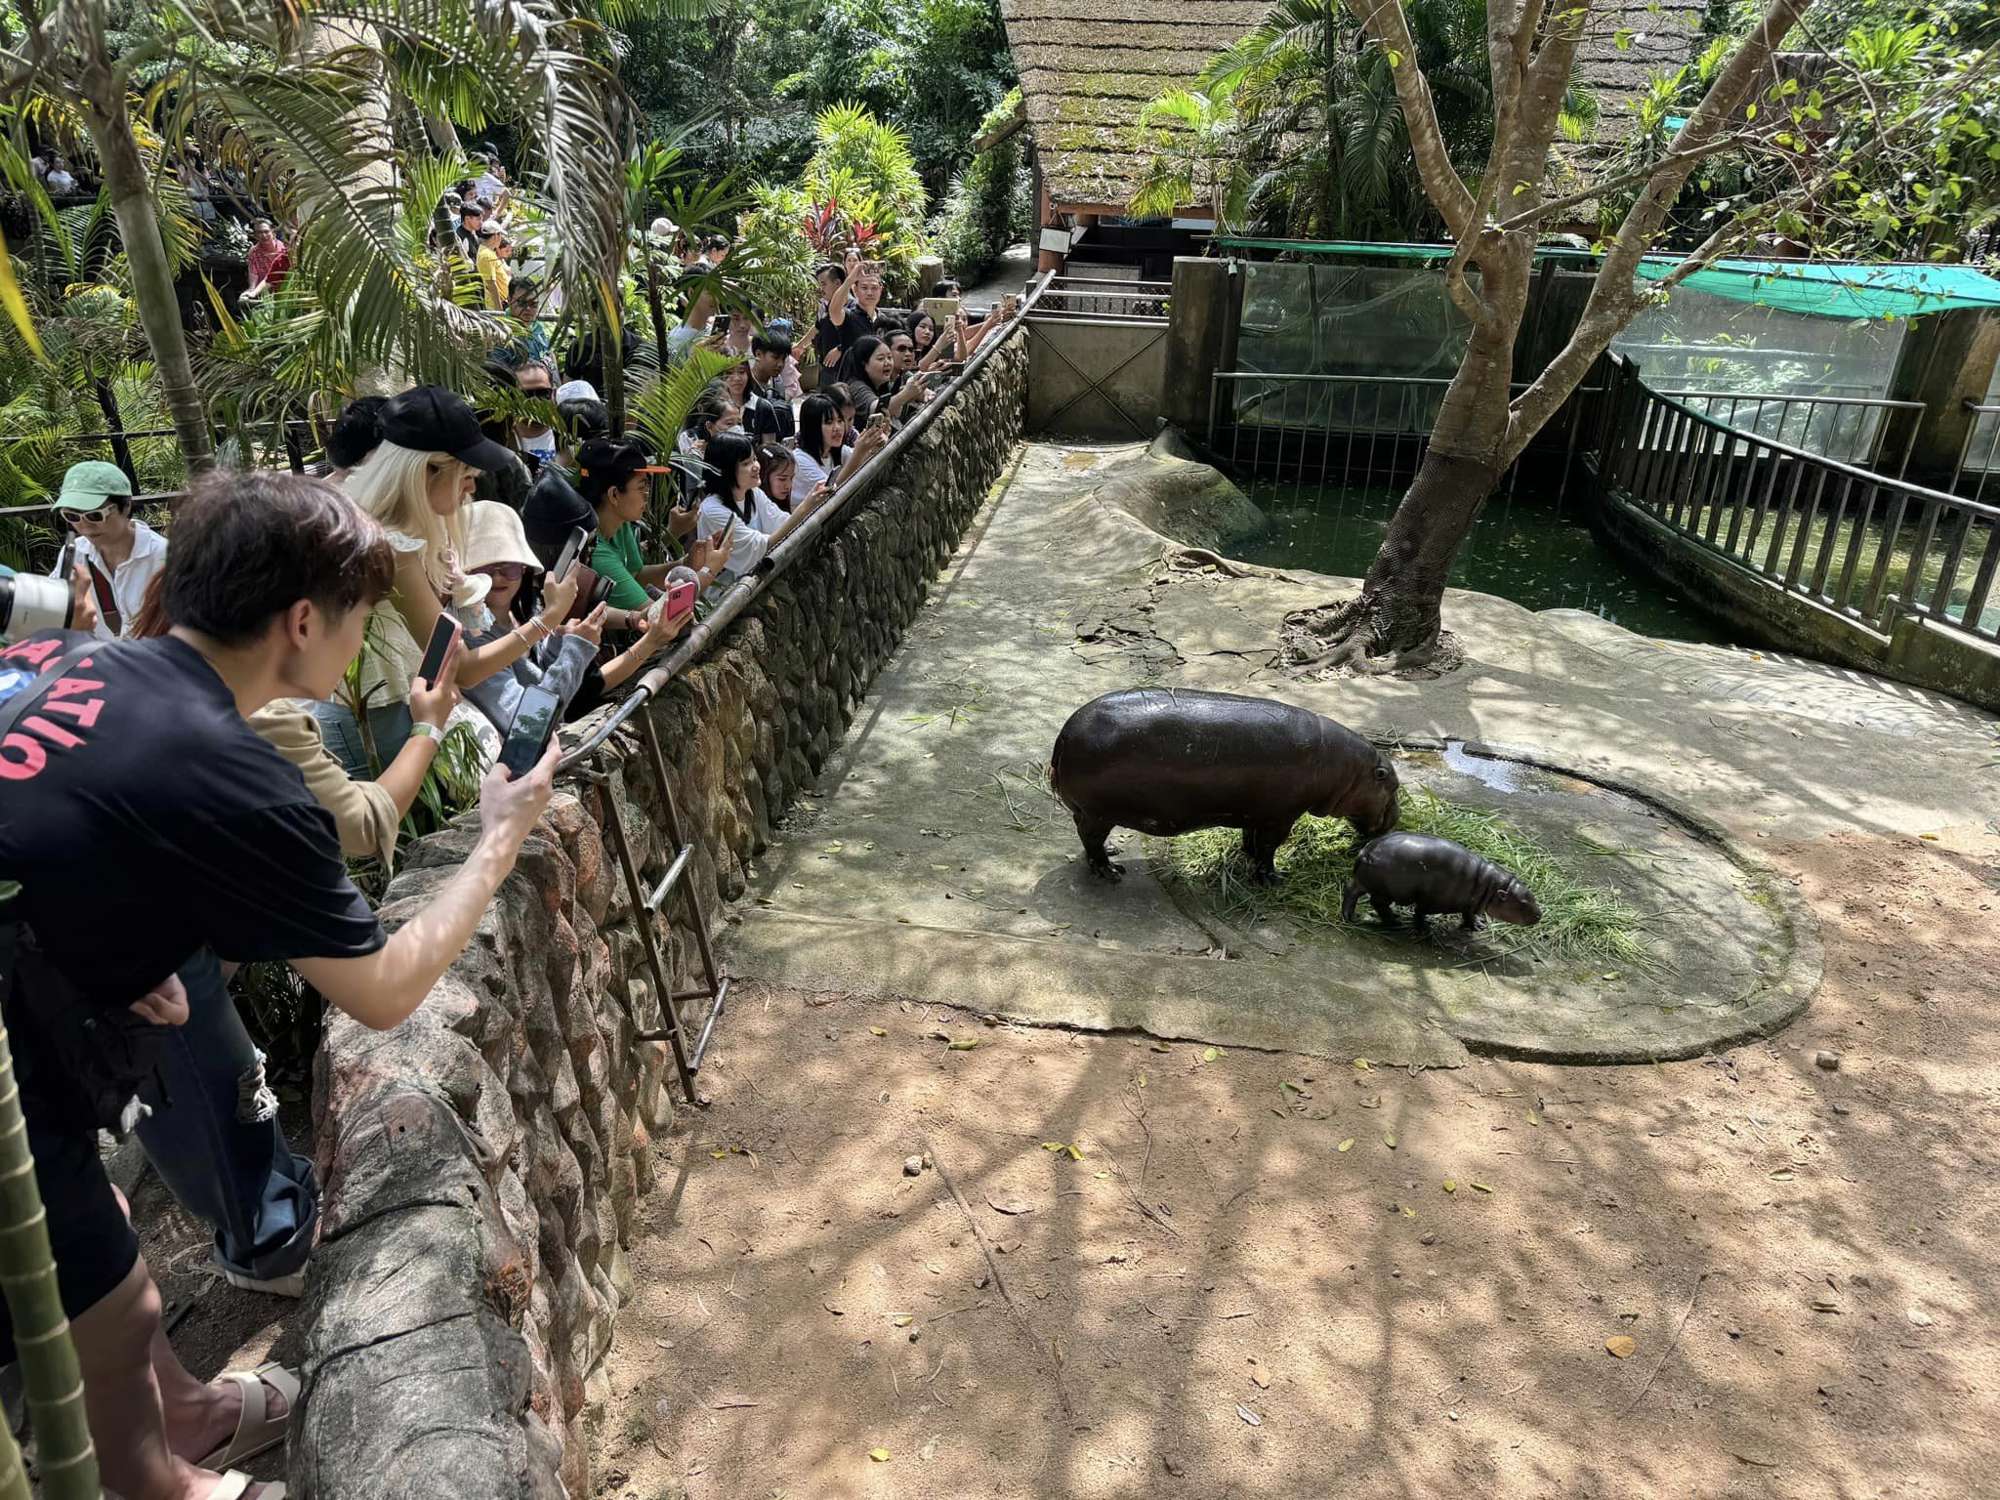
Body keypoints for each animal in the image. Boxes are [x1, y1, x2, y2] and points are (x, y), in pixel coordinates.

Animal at [1048, 692, 1408, 888]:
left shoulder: (1258, 812)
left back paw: (1111, 855)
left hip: (1092, 813)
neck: (1344, 769)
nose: (1397, 819)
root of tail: (1063, 737)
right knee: (1090, 839)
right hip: (1097, 813)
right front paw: (1273, 879)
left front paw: (1246, 854)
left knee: (1091, 840)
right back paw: (1111, 871)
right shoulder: (1282, 816)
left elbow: (1252, 838)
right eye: (1391, 784)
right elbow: (1269, 848)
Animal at [1344, 828, 1544, 936]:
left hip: (1365, 883)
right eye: (1523, 903)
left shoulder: (1469, 904)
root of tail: (1366, 852)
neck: (1489, 886)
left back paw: (1351, 916)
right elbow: (1419, 913)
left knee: (1351, 890)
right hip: (1387, 891)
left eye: (1532, 896)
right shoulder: (1430, 902)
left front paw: (1478, 926)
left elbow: (1468, 915)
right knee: (1376, 903)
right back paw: (1395, 922)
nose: (1539, 915)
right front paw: (1425, 930)